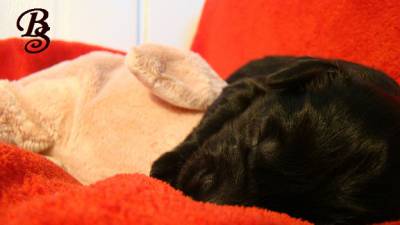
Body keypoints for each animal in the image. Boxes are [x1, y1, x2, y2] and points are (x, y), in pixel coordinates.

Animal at [150, 55, 400, 224]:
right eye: (261, 137)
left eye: (287, 211)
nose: (199, 193)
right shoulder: (248, 86)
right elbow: (211, 122)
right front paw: (166, 167)